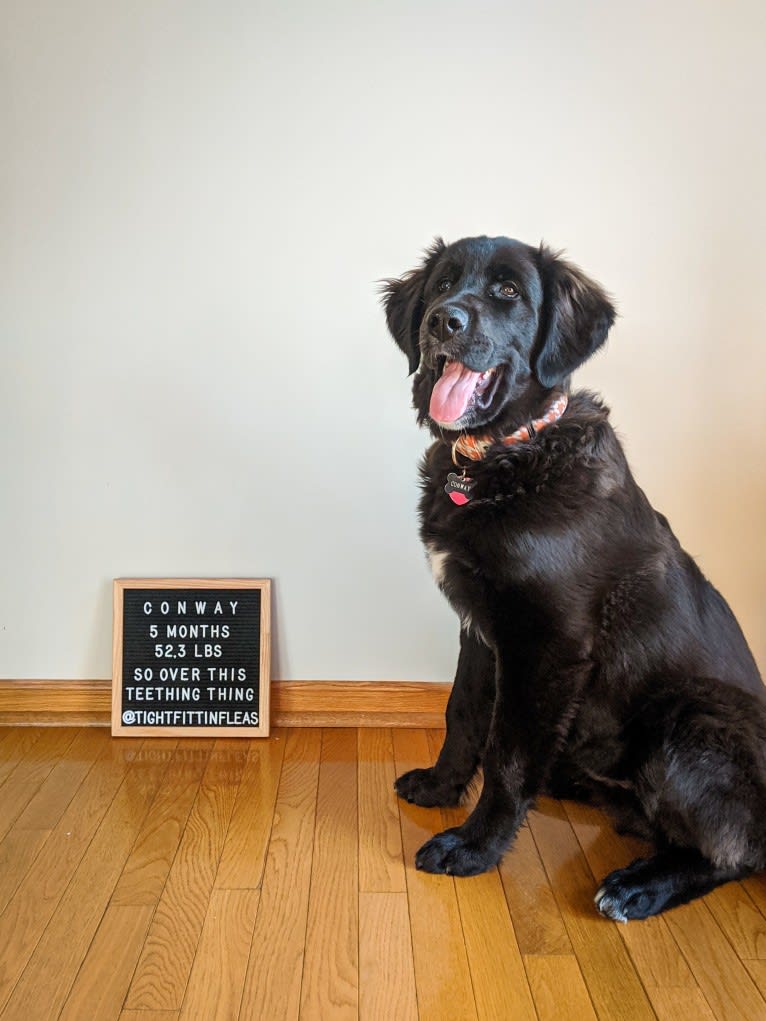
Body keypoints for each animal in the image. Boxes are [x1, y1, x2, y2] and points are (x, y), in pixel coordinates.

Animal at [384, 234, 766, 922]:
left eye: (508, 290)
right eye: (443, 283)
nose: (441, 322)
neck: (507, 455)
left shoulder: (547, 647)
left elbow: (508, 755)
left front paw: (473, 847)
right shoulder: (481, 631)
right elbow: (464, 714)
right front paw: (441, 786)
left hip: (691, 716)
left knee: (735, 852)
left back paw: (640, 885)